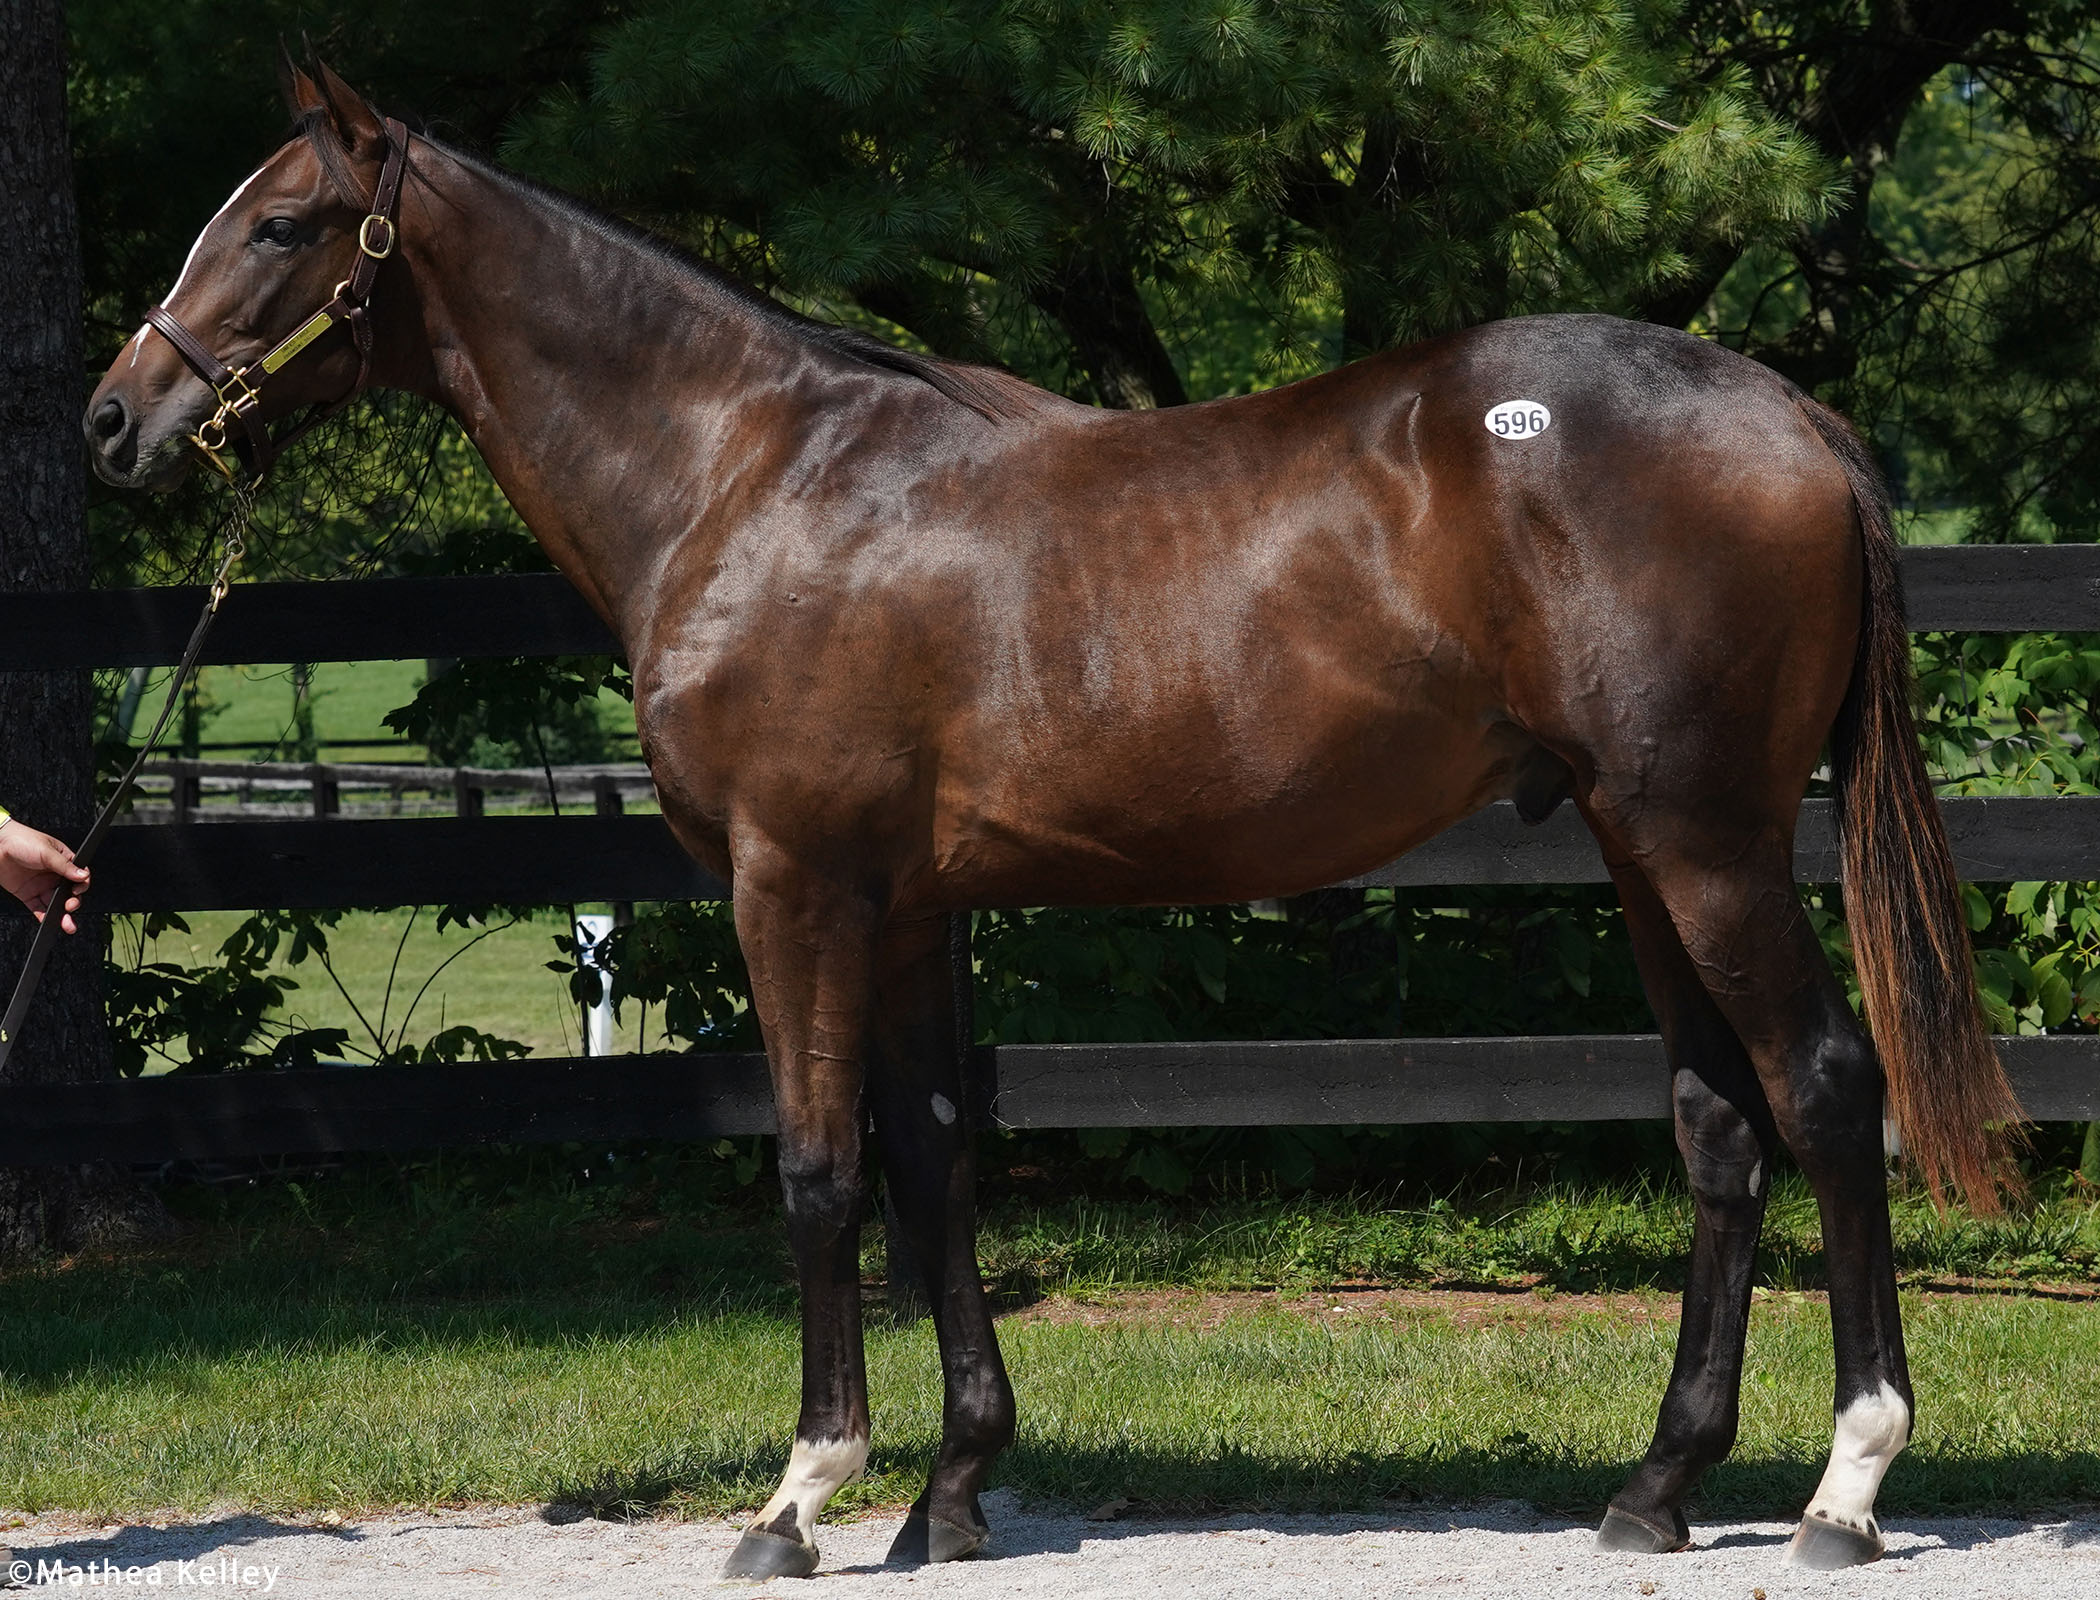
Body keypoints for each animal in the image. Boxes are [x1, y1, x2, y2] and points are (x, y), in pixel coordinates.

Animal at [86, 59, 2015, 1570]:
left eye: (280, 227)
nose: (116, 418)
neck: (751, 476)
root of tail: (1790, 411)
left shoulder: (795, 888)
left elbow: (815, 1170)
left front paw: (799, 1499)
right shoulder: (911, 903)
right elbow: (934, 1158)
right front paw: (949, 1492)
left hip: (1707, 843)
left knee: (1826, 1091)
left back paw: (1847, 1487)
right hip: (1634, 846)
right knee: (1720, 1126)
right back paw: (1657, 1488)